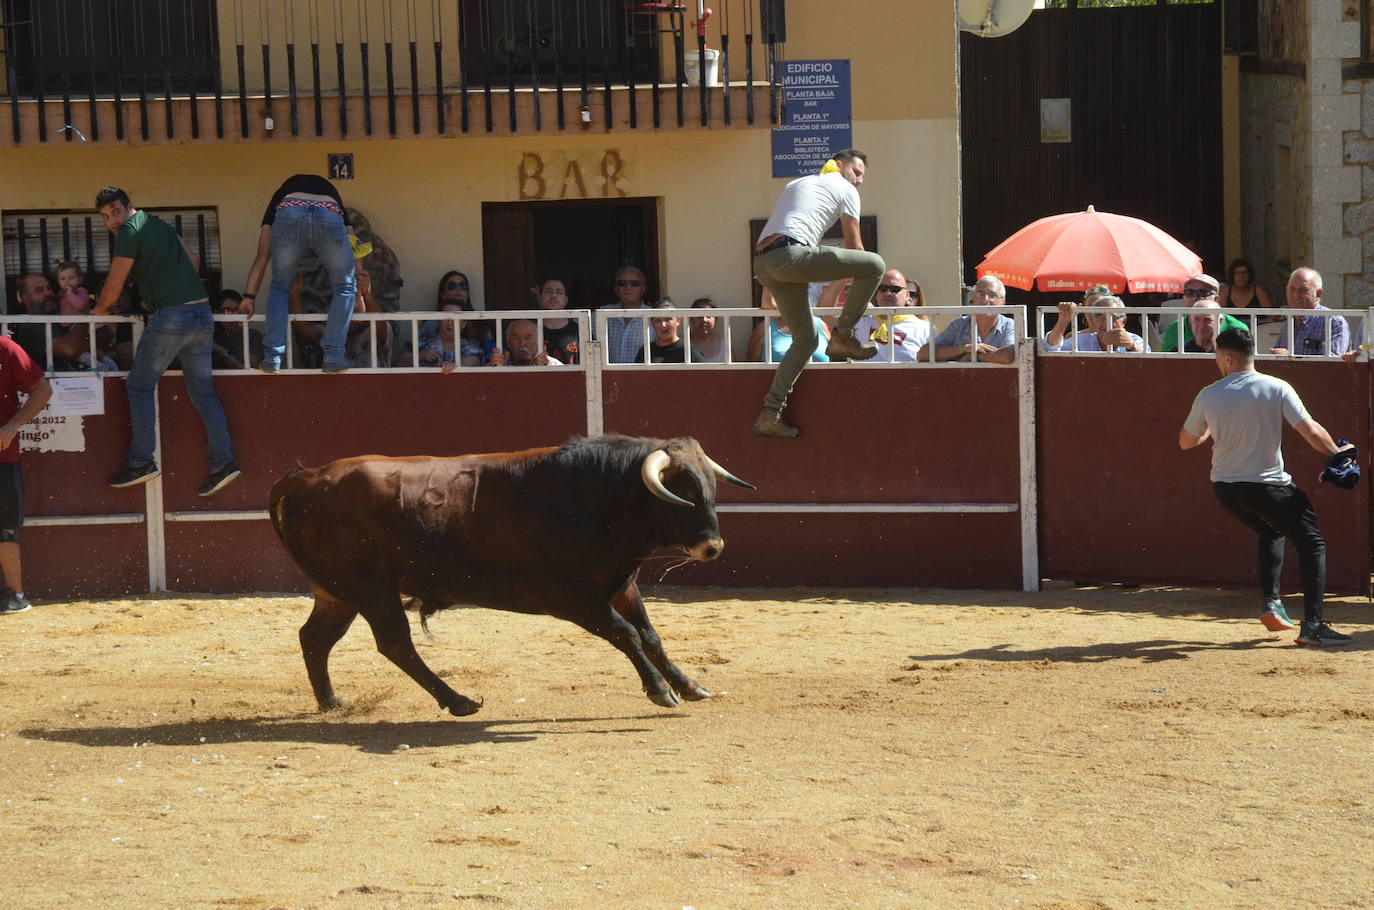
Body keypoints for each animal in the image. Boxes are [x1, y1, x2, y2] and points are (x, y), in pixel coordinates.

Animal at [265, 437, 752, 720]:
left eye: (711, 486)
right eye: (681, 490)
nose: (713, 547)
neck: (593, 496)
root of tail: (305, 478)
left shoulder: (621, 586)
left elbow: (650, 636)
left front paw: (689, 685)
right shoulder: (573, 598)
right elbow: (626, 634)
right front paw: (659, 691)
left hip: (338, 593)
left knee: (315, 639)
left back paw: (330, 702)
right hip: (369, 589)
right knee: (394, 644)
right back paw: (458, 701)